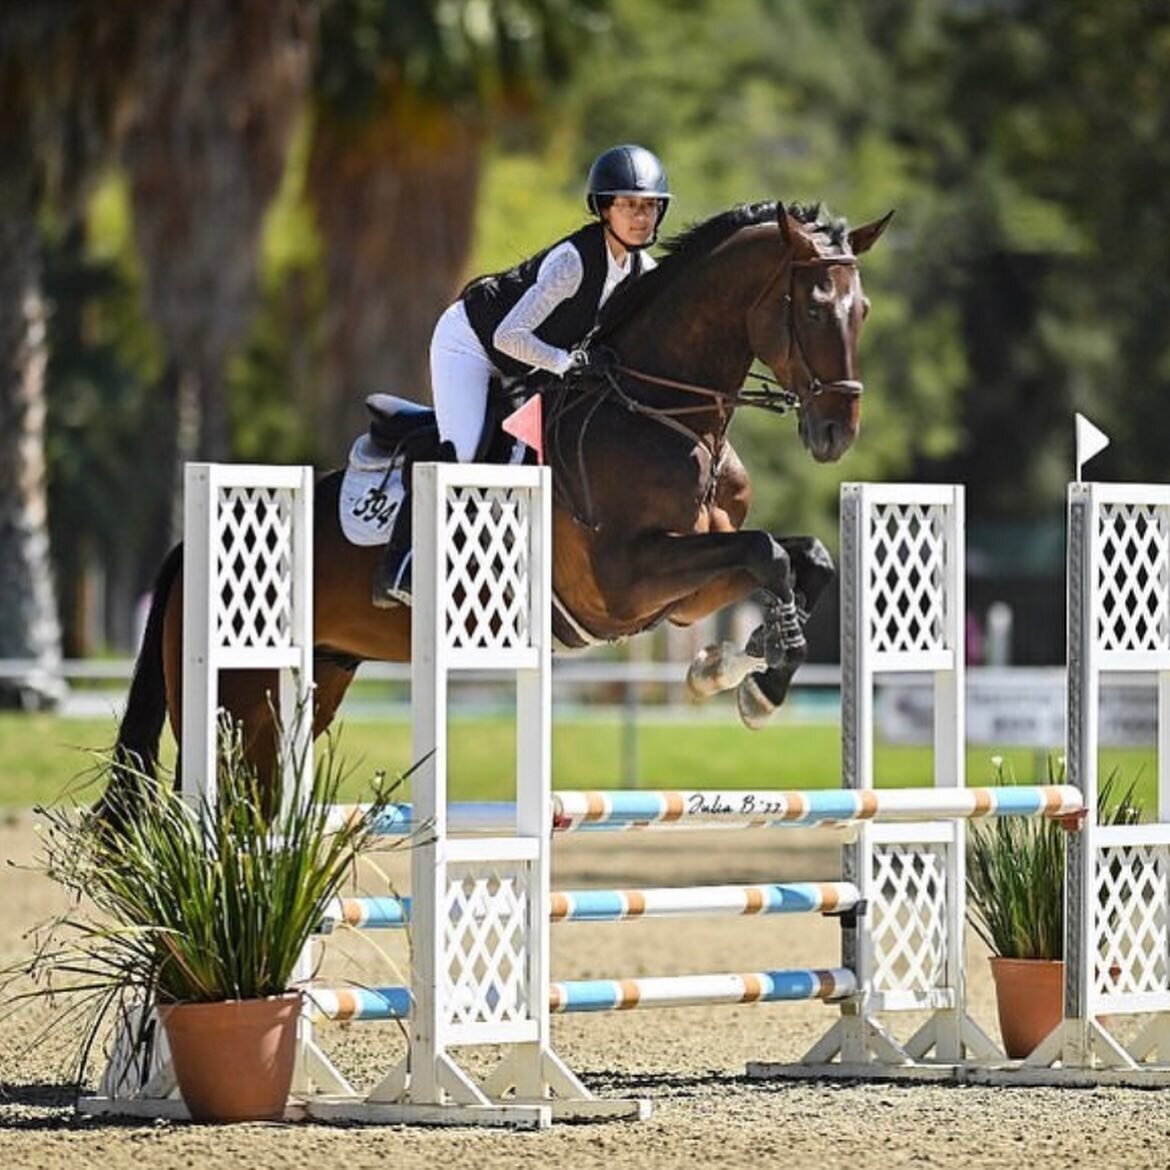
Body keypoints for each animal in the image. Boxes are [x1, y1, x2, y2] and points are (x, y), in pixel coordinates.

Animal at [105, 201, 889, 809]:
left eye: (863, 310)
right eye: (813, 307)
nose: (836, 433)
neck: (661, 411)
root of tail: (188, 548)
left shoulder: (682, 593)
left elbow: (802, 555)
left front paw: (740, 666)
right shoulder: (624, 584)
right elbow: (766, 552)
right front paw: (758, 680)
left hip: (312, 682)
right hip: (232, 696)